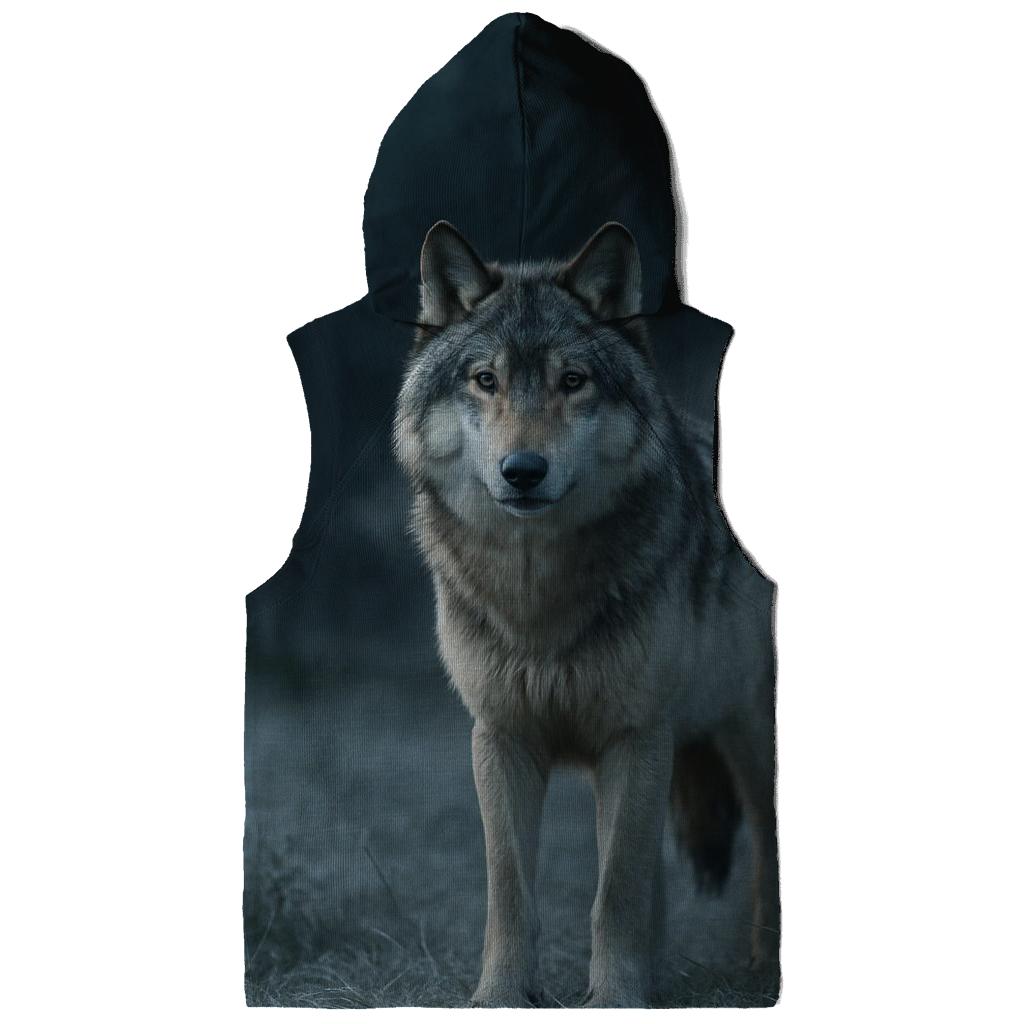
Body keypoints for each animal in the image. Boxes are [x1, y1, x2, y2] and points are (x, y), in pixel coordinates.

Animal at [393, 220, 778, 1007]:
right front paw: (501, 996)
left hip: (746, 737)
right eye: (485, 380)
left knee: (767, 846)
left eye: (573, 381)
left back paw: (763, 963)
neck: (536, 599)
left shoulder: (635, 736)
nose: (523, 472)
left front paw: (618, 998)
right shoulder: (503, 738)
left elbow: (616, 887)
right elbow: (513, 885)